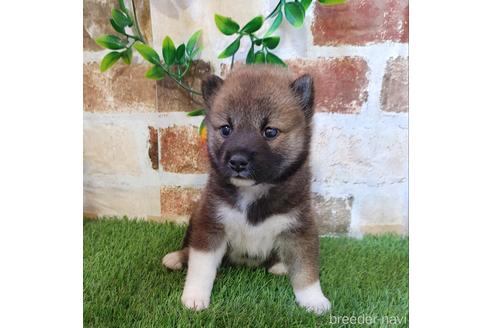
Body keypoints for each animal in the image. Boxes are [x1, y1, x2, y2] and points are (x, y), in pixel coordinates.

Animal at [162, 65, 330, 314]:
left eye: (270, 131)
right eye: (226, 129)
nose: (238, 161)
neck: (254, 191)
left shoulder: (299, 227)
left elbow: (306, 269)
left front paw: (313, 299)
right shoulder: (211, 223)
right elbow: (201, 266)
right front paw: (194, 296)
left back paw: (280, 265)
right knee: (188, 249)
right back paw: (176, 258)